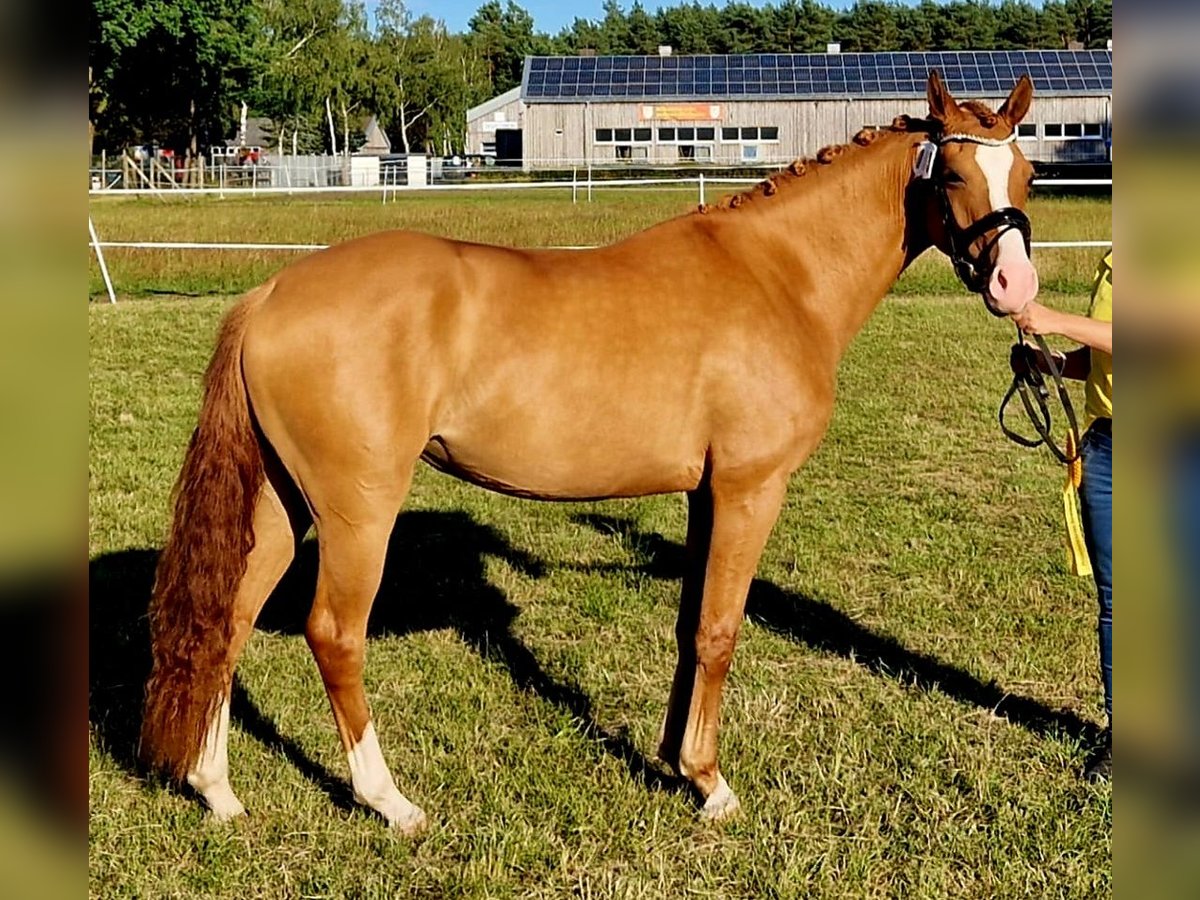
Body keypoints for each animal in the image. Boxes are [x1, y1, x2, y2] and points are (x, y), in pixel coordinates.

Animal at [140, 72, 1041, 830]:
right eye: (953, 175)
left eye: (1028, 175)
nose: (1016, 287)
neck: (778, 274)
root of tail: (271, 294)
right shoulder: (751, 489)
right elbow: (721, 630)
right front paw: (712, 786)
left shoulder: (705, 494)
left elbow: (689, 626)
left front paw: (677, 763)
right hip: (358, 509)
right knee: (334, 634)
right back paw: (389, 801)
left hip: (281, 504)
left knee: (228, 620)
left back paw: (217, 791)